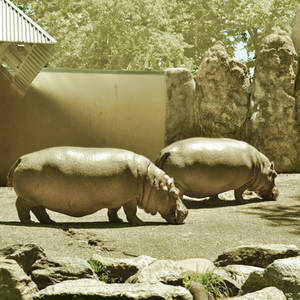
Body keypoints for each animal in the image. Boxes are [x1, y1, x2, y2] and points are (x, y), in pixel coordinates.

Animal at [7, 146, 188, 226]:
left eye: (179, 191)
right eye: (174, 193)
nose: (186, 212)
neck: (152, 182)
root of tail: (22, 158)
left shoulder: (117, 198)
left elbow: (114, 210)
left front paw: (117, 220)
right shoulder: (130, 197)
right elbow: (131, 211)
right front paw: (139, 222)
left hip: (37, 198)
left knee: (39, 210)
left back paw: (51, 222)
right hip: (27, 197)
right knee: (21, 207)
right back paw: (29, 222)